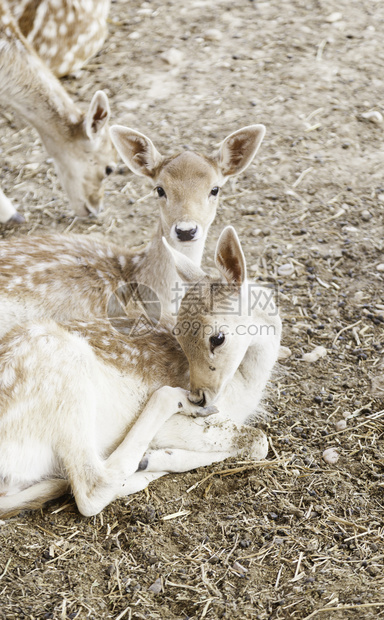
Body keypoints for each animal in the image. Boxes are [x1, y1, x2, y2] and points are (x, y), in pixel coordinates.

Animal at [0, 225, 282, 516]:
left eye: (217, 338)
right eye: (179, 336)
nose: (198, 398)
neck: (246, 388)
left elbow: (255, 441)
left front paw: (158, 458)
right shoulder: (187, 424)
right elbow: (258, 439)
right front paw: (156, 457)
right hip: (63, 372)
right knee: (90, 489)